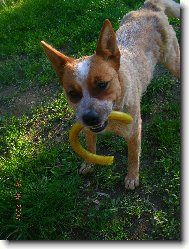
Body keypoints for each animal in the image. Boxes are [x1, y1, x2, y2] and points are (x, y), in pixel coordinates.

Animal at [41, 0, 180, 190]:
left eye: (102, 84)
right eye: (72, 93)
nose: (90, 118)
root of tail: (148, 7)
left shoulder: (134, 132)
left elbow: (133, 156)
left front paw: (132, 177)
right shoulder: (87, 128)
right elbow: (90, 146)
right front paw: (88, 163)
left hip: (173, 62)